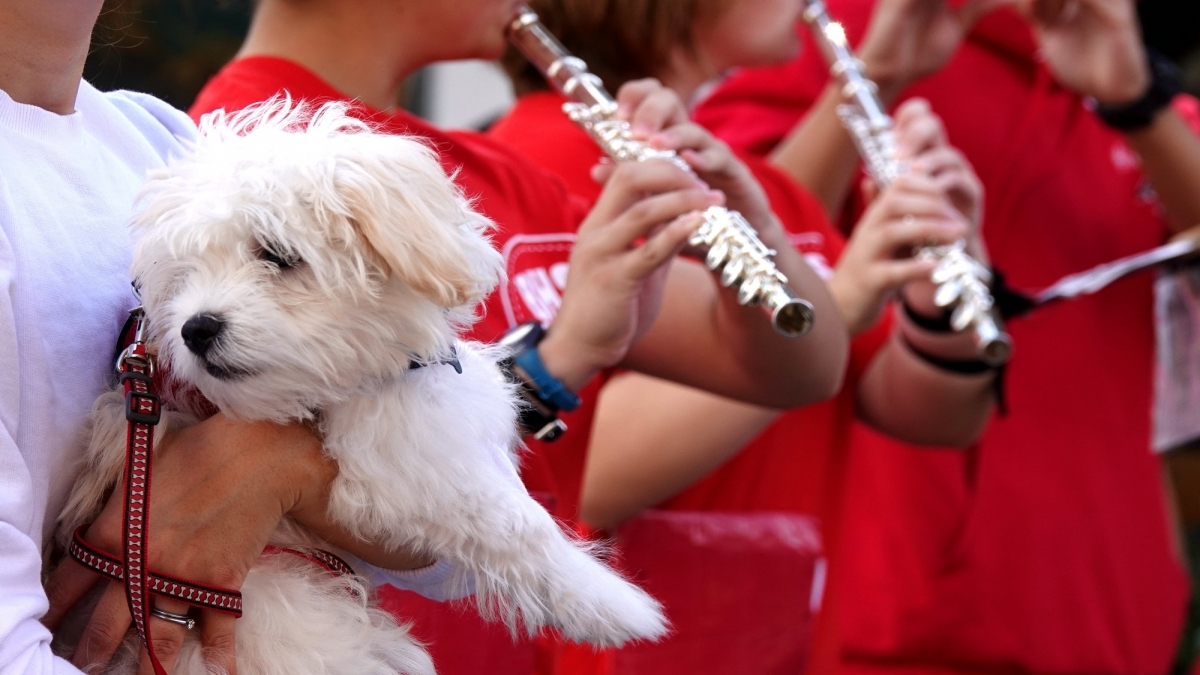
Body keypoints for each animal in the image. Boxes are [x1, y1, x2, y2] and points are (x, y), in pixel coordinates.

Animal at [58, 100, 667, 672]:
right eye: (184, 274)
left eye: (277, 255)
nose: (195, 328)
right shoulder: (396, 460)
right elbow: (515, 523)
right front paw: (613, 605)